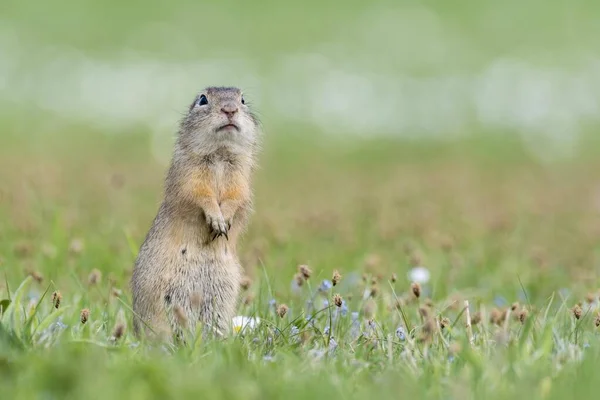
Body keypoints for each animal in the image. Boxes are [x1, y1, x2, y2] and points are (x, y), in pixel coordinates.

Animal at [130, 86, 262, 340]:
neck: (220, 155)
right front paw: (216, 219)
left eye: (242, 99)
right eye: (202, 100)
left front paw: (225, 219)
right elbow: (199, 194)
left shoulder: (241, 180)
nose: (230, 109)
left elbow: (237, 198)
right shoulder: (189, 176)